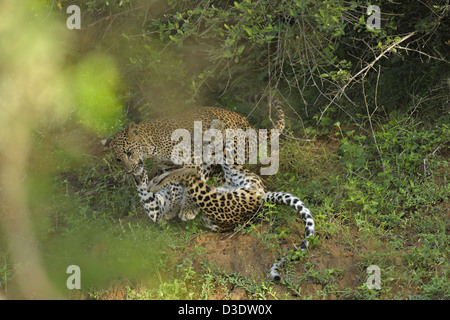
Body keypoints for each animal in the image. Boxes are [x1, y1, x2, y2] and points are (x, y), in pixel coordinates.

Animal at [130, 161, 312, 282]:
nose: (153, 173)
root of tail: (262, 198)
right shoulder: (157, 210)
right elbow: (146, 194)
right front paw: (140, 174)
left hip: (214, 196)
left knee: (194, 172)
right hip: (229, 184)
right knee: (197, 172)